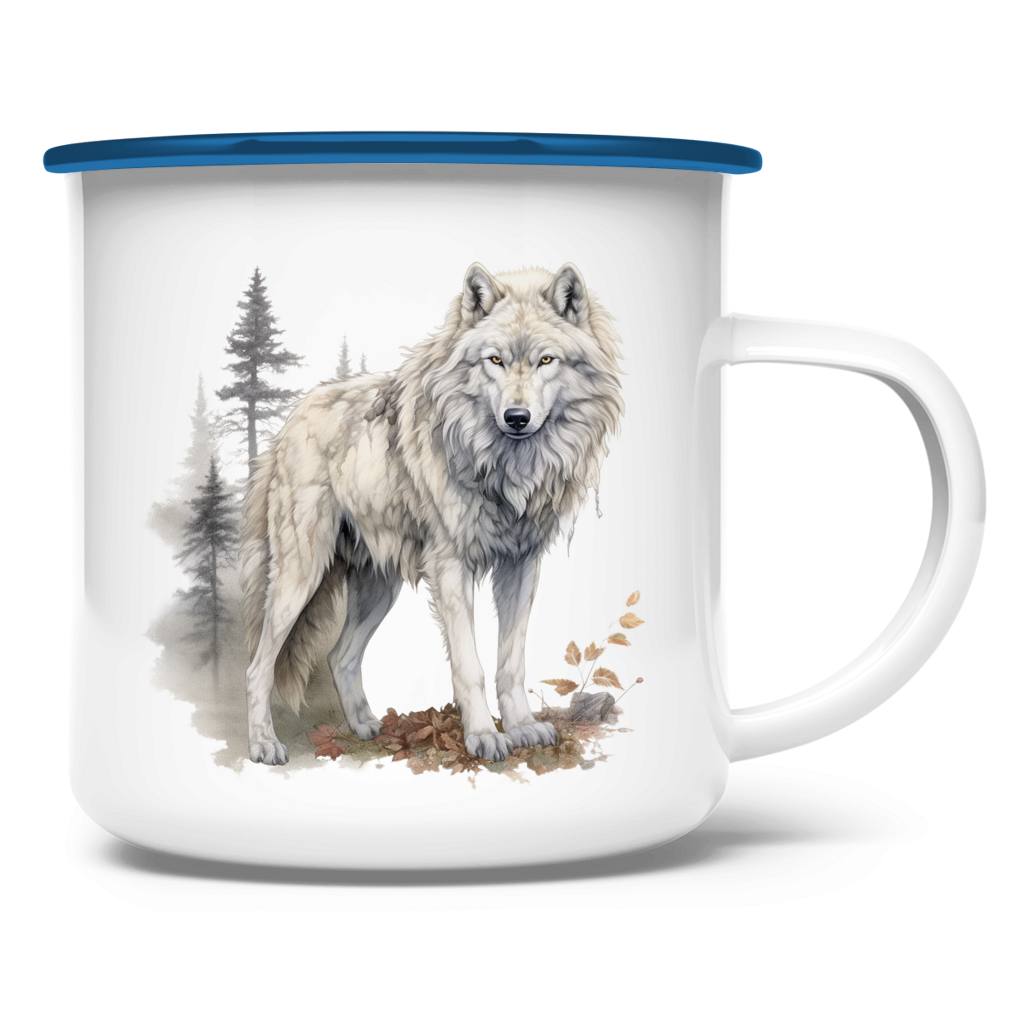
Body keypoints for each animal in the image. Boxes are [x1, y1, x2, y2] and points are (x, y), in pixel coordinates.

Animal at [241, 261, 627, 765]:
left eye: (546, 360)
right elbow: (470, 666)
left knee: (340, 655)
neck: (506, 469)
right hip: (300, 577)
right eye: (495, 360)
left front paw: (523, 728)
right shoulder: (451, 569)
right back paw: (264, 744)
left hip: (379, 588)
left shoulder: (521, 567)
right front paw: (484, 736)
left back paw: (365, 728)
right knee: (257, 666)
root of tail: (292, 419)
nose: (517, 417)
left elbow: (510, 663)